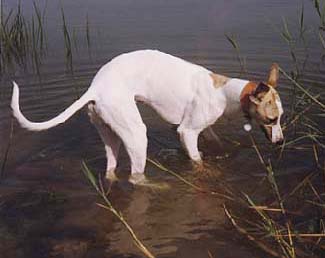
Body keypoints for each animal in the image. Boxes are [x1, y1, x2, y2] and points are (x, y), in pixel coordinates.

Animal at [10, 50, 284, 183]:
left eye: (282, 117)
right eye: (272, 119)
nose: (281, 142)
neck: (224, 91)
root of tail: (95, 88)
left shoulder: (196, 130)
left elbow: (213, 144)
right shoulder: (187, 131)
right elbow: (197, 161)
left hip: (111, 136)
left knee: (111, 171)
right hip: (136, 136)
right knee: (134, 177)